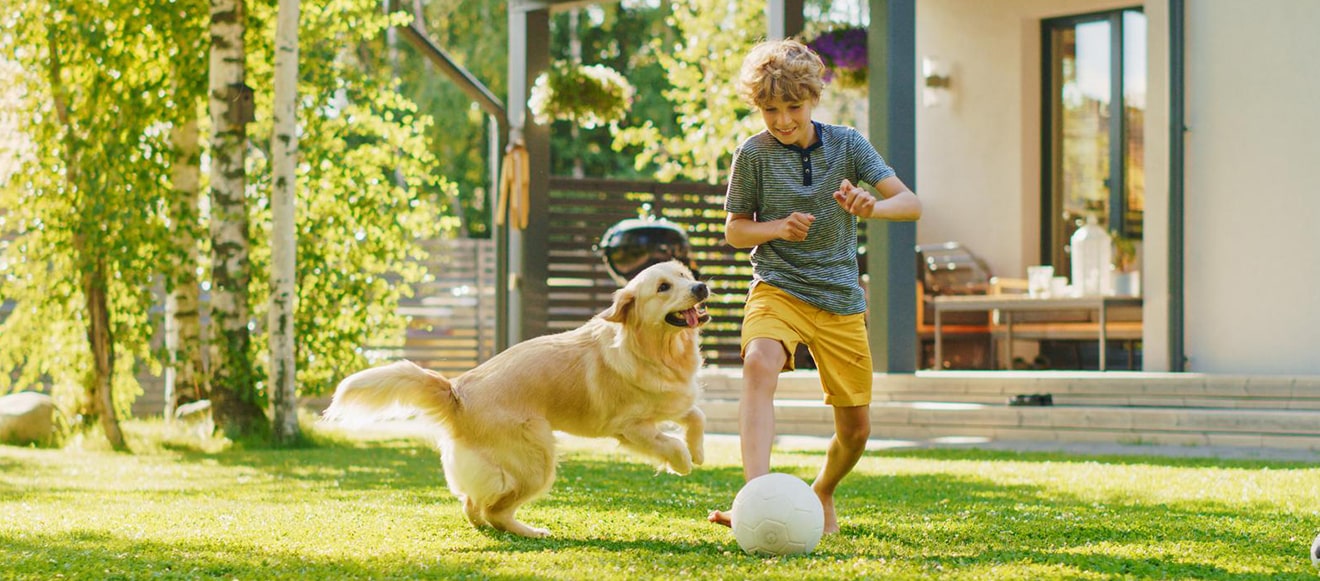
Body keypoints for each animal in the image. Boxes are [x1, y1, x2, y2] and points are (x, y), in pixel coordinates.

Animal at [322, 261, 712, 538]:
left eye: (683, 275)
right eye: (663, 287)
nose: (701, 286)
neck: (656, 350)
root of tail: (457, 391)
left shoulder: (673, 401)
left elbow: (696, 416)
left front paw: (699, 452)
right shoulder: (629, 428)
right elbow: (671, 443)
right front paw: (682, 464)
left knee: (473, 505)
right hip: (538, 459)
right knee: (494, 511)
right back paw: (531, 531)